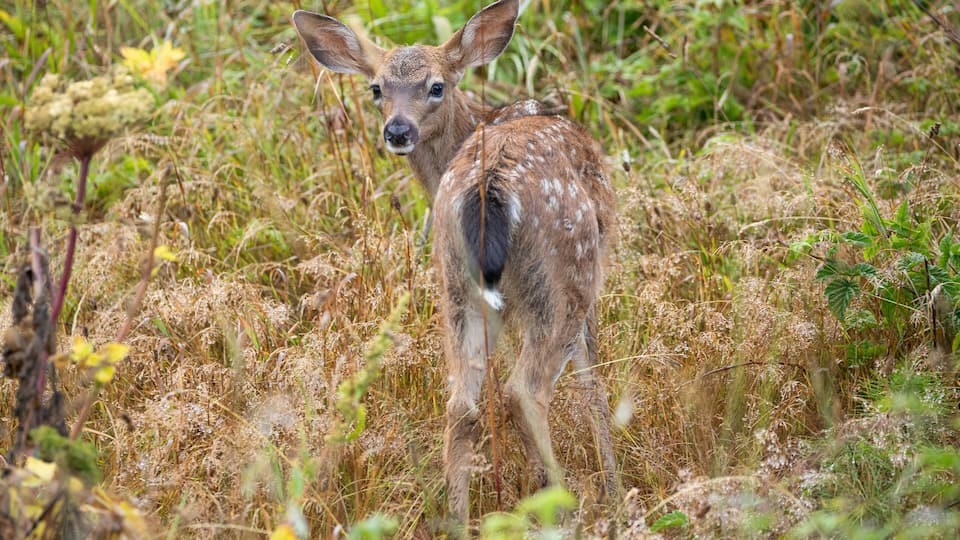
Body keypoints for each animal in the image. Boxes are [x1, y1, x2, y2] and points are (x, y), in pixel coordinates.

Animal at [292, 0, 617, 524]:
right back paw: (565, 508)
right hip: (568, 271)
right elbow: (595, 388)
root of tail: (490, 185)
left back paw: (459, 519)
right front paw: (615, 488)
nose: (397, 130)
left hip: (455, 280)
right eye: (377, 88)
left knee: (460, 403)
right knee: (525, 391)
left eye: (436, 86)